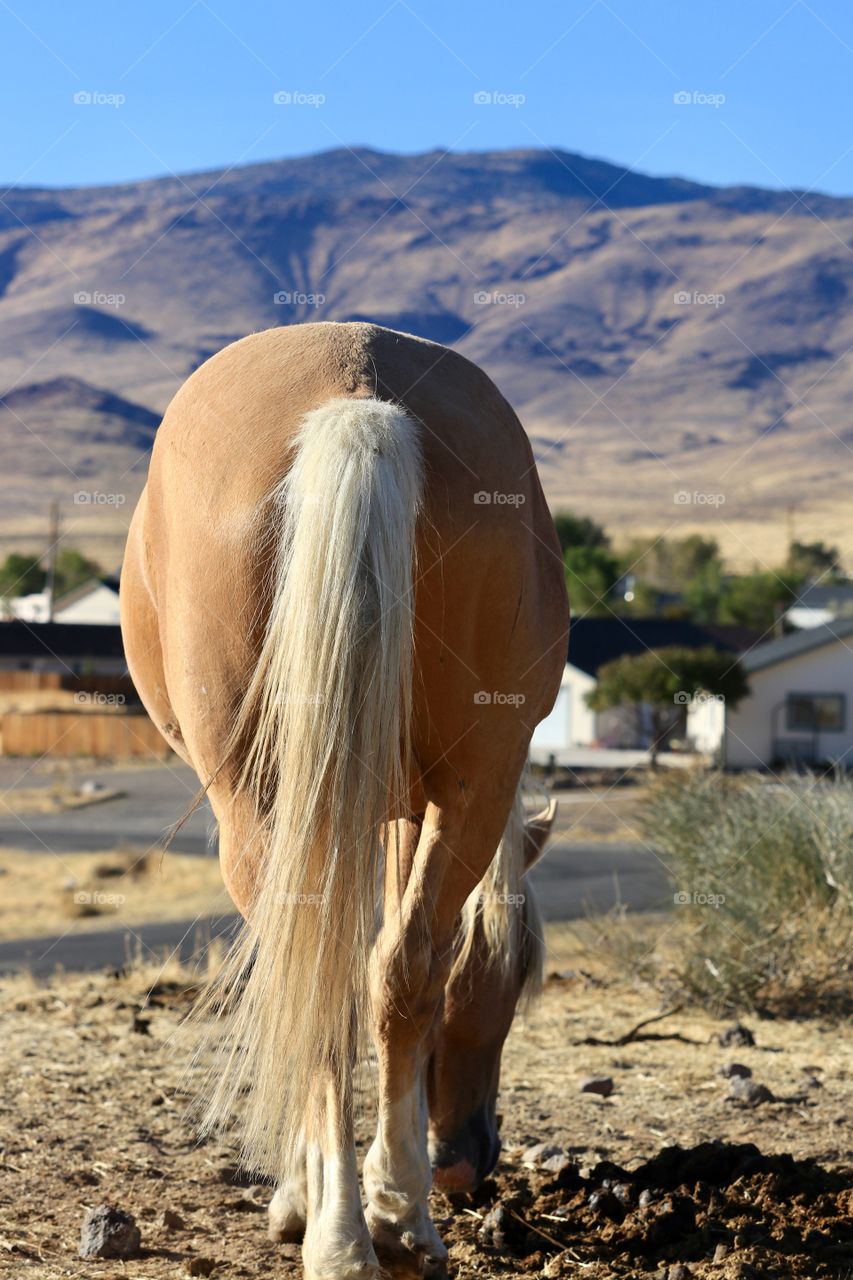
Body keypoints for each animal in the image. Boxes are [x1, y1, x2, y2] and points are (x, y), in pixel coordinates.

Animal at [119, 322, 568, 1280]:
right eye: (515, 977)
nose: (468, 1161)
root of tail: (355, 400)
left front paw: (302, 1193)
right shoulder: (410, 806)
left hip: (257, 801)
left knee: (321, 977)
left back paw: (345, 1231)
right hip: (474, 778)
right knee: (398, 967)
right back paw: (393, 1222)